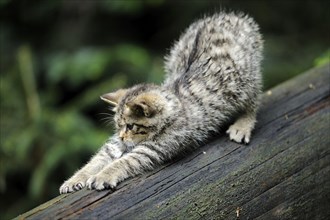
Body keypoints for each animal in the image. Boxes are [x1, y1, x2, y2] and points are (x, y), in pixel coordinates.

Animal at [59, 12, 262, 194]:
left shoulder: (154, 148)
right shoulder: (116, 145)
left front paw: (103, 175)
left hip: (245, 81)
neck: (174, 105)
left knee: (253, 101)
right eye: (119, 127)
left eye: (131, 126)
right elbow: (98, 158)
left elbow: (125, 161)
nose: (123, 137)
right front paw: (75, 178)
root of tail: (229, 16)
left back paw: (243, 125)